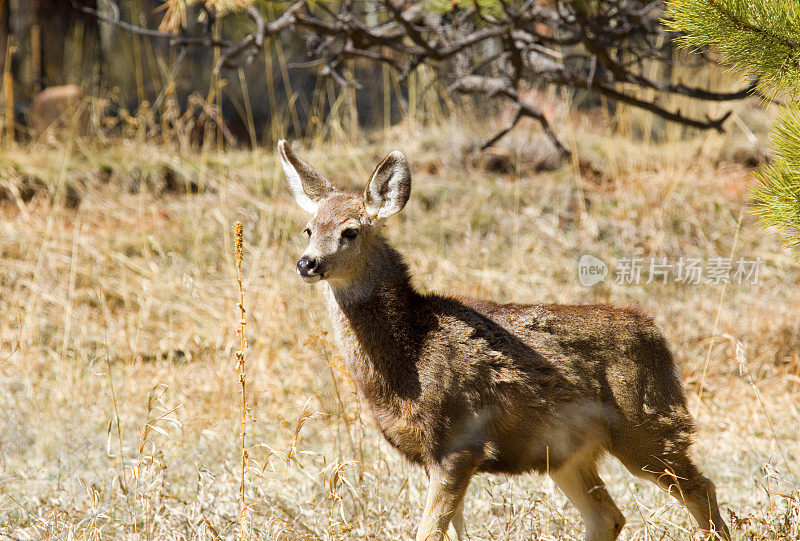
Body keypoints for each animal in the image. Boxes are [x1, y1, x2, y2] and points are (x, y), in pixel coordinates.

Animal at [280, 140, 732, 540]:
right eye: (308, 229)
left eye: (351, 231)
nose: (306, 263)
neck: (410, 353)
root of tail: (656, 333)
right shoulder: (434, 454)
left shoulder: (459, 442)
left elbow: (428, 532)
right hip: (565, 450)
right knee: (609, 516)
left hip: (647, 424)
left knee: (700, 489)